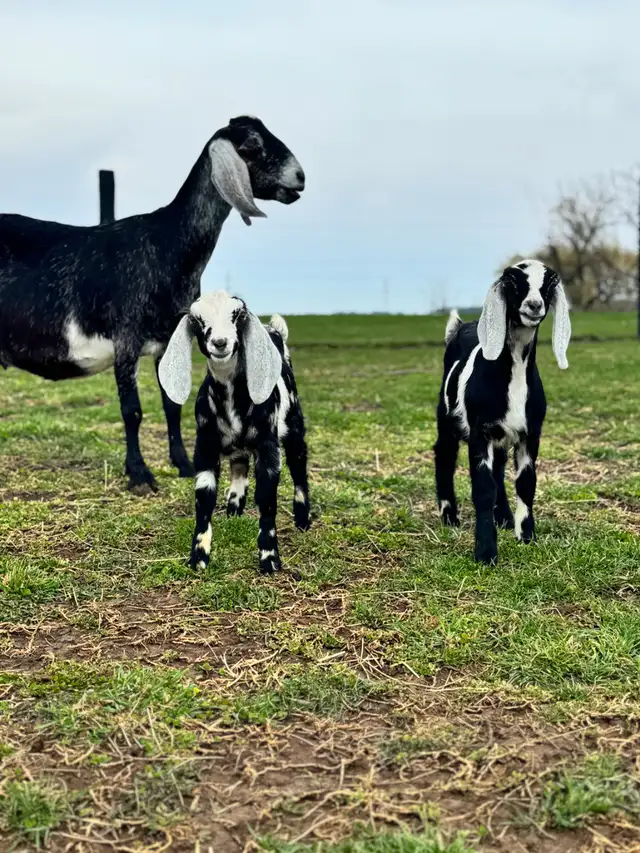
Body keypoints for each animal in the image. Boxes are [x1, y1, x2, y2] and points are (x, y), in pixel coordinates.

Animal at [0, 116, 305, 494]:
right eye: (250, 144)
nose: (299, 177)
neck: (166, 245)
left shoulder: (169, 337)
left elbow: (171, 404)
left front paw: (183, 464)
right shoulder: (125, 337)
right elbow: (132, 410)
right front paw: (139, 474)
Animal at [158, 290, 311, 575]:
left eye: (238, 315)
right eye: (197, 319)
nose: (220, 342)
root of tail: (275, 332)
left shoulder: (268, 448)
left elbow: (267, 499)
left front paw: (269, 559)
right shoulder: (204, 446)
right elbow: (204, 498)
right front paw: (198, 557)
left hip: (294, 425)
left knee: (299, 467)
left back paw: (303, 519)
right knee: (239, 465)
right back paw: (234, 507)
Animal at [434, 259, 571, 565]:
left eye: (548, 283)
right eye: (513, 281)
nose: (534, 305)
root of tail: (462, 327)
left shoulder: (530, 434)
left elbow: (525, 483)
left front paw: (526, 535)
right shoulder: (479, 433)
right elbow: (483, 489)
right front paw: (486, 552)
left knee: (498, 470)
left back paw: (505, 518)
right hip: (447, 418)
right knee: (444, 455)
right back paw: (449, 517)